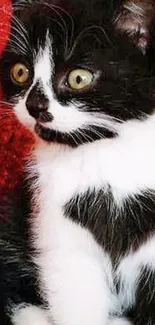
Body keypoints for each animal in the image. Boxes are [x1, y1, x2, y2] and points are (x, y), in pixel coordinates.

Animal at [0, 0, 155, 322]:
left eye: (78, 78)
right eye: (20, 72)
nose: (35, 106)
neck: (106, 150)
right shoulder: (55, 222)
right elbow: (76, 298)